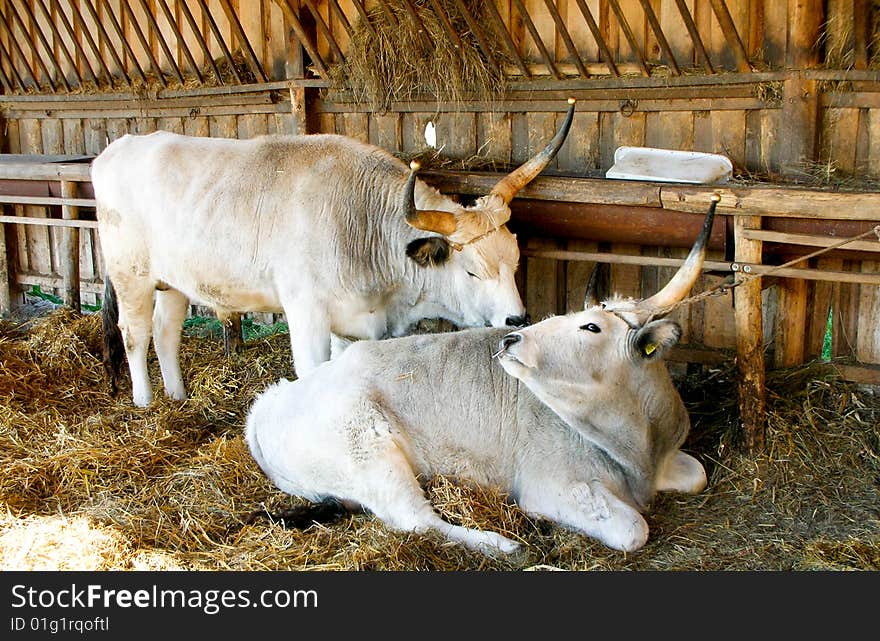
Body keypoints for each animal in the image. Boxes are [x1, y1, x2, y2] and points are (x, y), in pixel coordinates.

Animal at [94, 99, 576, 404]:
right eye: (472, 271)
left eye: (515, 259)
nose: (517, 319)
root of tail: (120, 146)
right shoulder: (306, 312)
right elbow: (312, 372)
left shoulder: (355, 322)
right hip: (131, 275)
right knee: (134, 334)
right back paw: (146, 403)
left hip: (172, 281)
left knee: (165, 332)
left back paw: (177, 396)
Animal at [244, 196, 720, 556]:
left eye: (590, 326)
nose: (512, 338)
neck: (638, 449)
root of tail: (267, 406)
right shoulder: (551, 485)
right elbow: (633, 529)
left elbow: (697, 473)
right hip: (369, 454)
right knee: (415, 520)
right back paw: (502, 543)